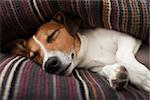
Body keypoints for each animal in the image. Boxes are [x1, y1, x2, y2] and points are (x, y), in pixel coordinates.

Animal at [10, 11, 150, 91]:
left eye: (52, 34)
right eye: (33, 55)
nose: (50, 64)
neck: (89, 51)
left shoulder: (128, 37)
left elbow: (120, 55)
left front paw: (145, 79)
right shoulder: (96, 67)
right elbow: (107, 68)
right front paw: (116, 75)